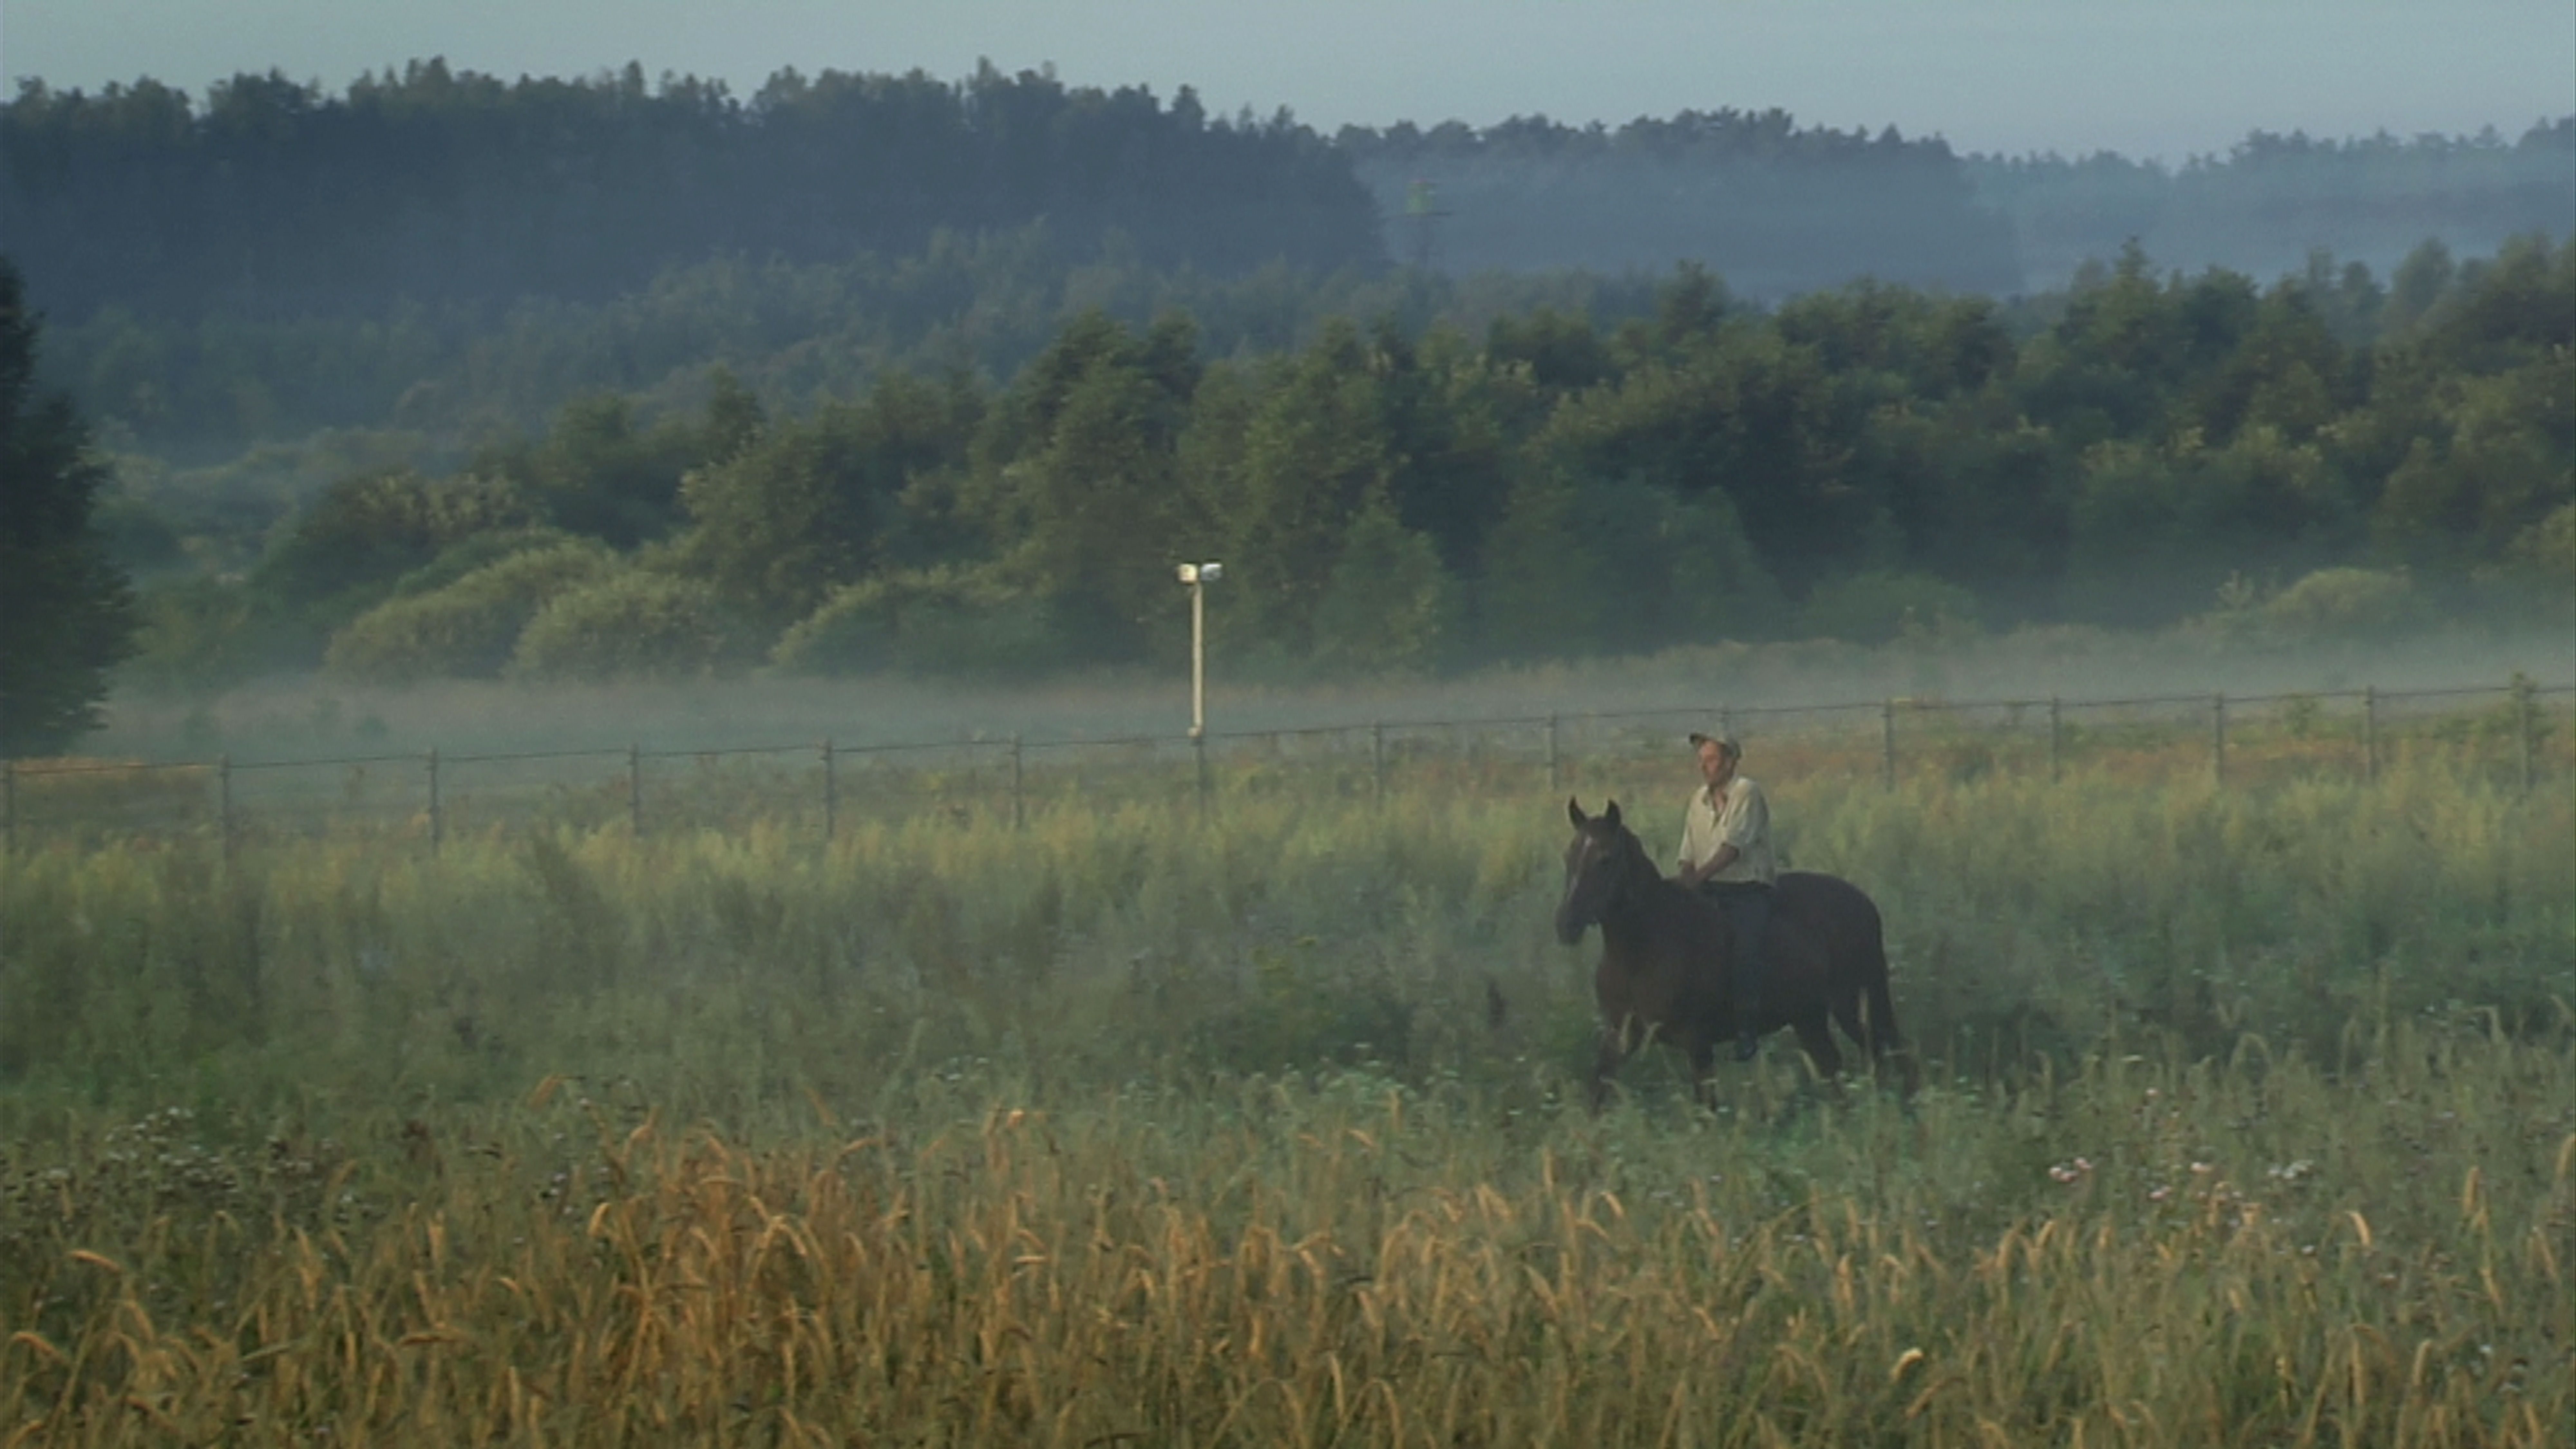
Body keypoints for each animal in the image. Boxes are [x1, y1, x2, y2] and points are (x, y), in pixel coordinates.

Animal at [1546, 794, 1917, 1098]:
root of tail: (1864, 901)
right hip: (1809, 1016)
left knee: (1892, 1054)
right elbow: (1596, 1092)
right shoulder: (1619, 1038)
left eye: (1606, 859)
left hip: (1856, 1003)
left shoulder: (1696, 1042)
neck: (1640, 949)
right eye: (1568, 855)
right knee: (1835, 1066)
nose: (1566, 925)